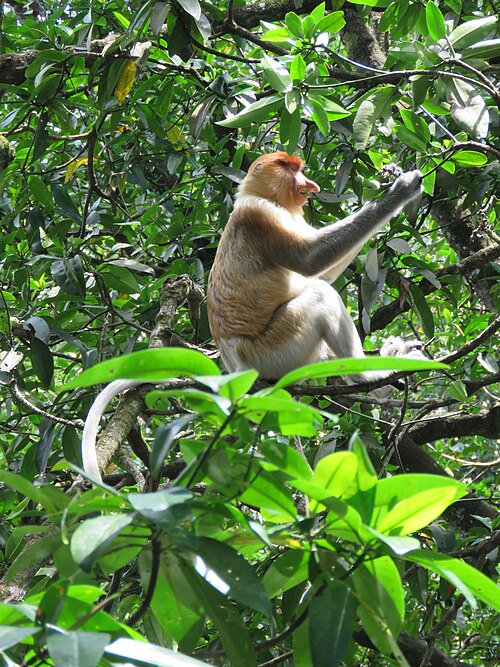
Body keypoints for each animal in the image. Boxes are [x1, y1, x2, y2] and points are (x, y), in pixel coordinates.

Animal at [206, 152, 425, 382]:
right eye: (291, 169)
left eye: (299, 170)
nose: (311, 185)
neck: (259, 194)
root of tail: (235, 367)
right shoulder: (261, 213)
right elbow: (310, 260)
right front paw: (401, 190)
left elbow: (323, 273)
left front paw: (390, 176)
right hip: (272, 354)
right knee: (321, 295)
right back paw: (367, 375)